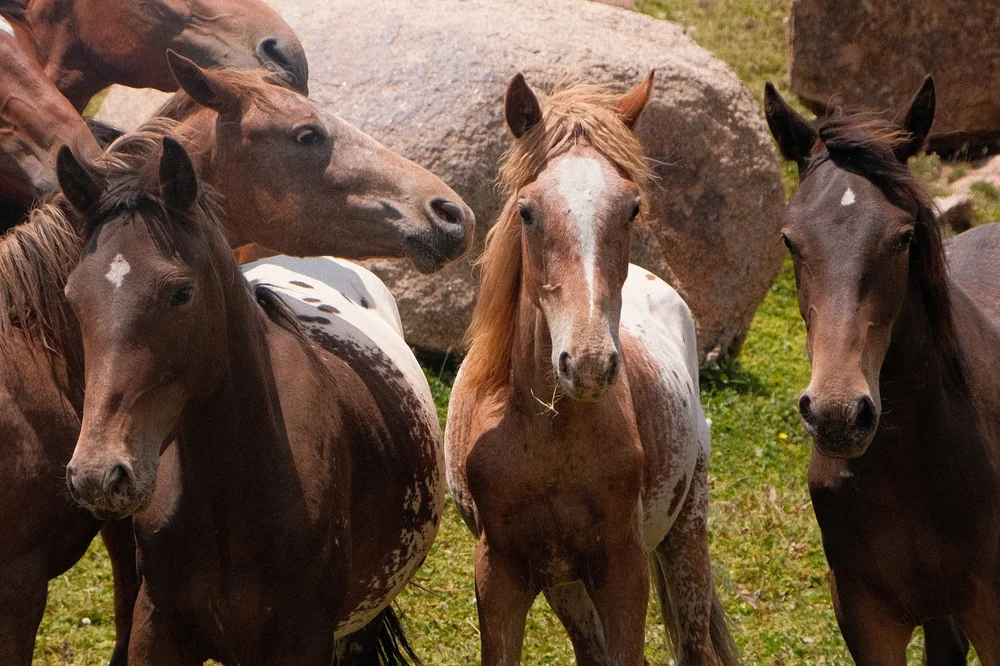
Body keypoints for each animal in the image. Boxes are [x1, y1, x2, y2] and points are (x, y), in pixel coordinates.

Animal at [444, 72, 740, 666]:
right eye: (527, 211)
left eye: (631, 209)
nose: (587, 365)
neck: (551, 438)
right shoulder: (500, 576)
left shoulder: (623, 570)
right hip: (567, 585)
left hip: (685, 533)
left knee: (694, 645)